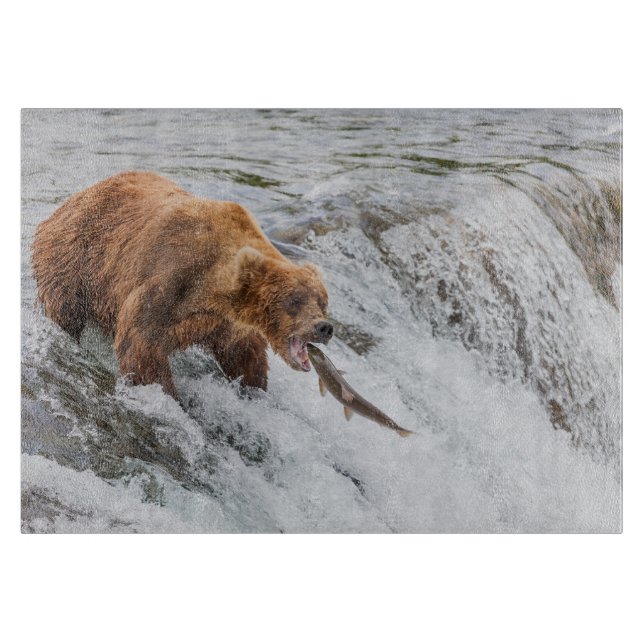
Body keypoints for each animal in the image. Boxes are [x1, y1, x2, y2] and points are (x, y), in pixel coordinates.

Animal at [32, 171, 333, 399]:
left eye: (322, 301)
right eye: (294, 300)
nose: (324, 327)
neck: (215, 287)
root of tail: (63, 206)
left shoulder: (224, 320)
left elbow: (243, 352)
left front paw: (253, 387)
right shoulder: (170, 279)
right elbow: (141, 345)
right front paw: (170, 396)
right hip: (74, 263)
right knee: (66, 312)